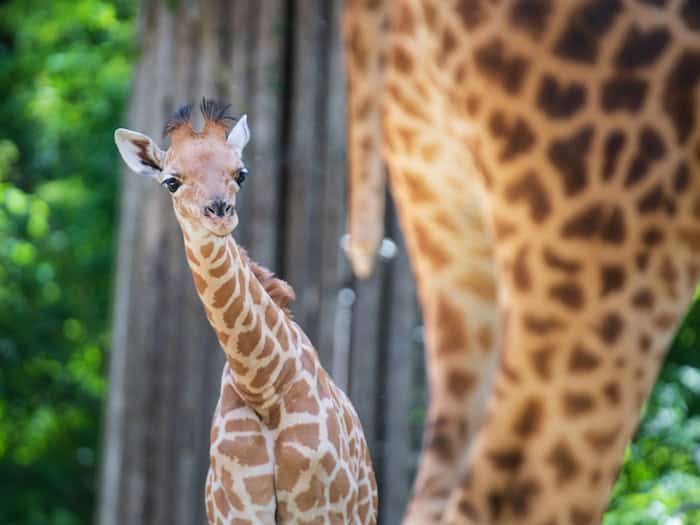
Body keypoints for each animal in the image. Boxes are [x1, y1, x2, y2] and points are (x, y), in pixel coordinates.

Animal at [114, 99, 378, 524]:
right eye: (171, 181)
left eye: (241, 173)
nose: (220, 213)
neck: (263, 387)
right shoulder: (238, 511)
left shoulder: (321, 511)